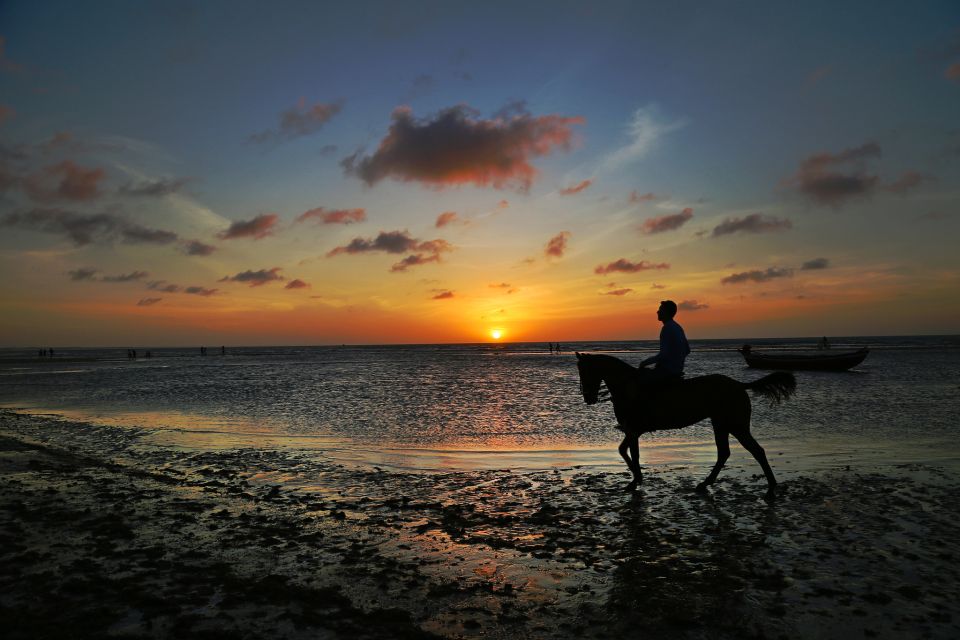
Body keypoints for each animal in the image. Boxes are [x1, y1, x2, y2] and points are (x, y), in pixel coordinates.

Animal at [576, 352, 796, 498]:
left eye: (585, 371)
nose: (588, 398)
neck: (627, 388)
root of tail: (739, 385)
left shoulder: (633, 430)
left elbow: (630, 453)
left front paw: (635, 480)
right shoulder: (632, 431)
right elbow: (625, 451)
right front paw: (636, 478)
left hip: (736, 426)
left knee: (755, 451)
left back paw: (770, 486)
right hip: (721, 425)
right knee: (725, 453)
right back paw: (706, 483)